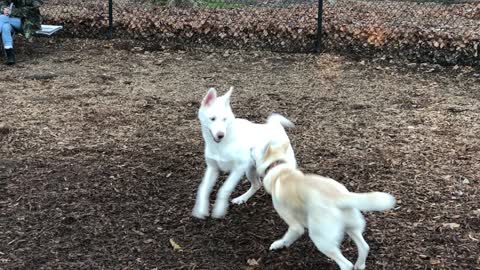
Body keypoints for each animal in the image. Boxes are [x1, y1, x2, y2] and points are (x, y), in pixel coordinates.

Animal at [191, 87, 296, 218]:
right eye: (212, 119)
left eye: (225, 119)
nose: (221, 135)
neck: (221, 145)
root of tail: (275, 126)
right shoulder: (213, 168)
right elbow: (203, 188)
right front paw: (201, 209)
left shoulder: (238, 168)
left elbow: (224, 189)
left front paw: (219, 209)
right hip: (251, 170)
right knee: (257, 184)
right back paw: (242, 198)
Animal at [253, 142, 396, 268]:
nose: (251, 151)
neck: (279, 169)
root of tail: (339, 196)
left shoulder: (294, 224)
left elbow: (289, 235)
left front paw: (280, 244)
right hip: (351, 227)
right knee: (364, 247)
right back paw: (360, 265)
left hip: (321, 240)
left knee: (346, 264)